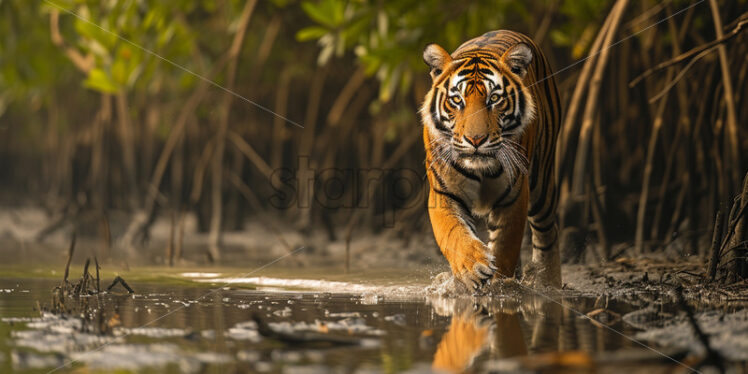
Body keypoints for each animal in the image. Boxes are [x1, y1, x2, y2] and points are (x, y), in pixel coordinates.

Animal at [420, 30, 560, 290]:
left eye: (494, 98)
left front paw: (499, 286)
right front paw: (473, 268)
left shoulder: (514, 195)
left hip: (542, 181)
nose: (476, 139)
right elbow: (453, 233)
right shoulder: (443, 193)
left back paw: (549, 282)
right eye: (457, 100)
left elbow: (505, 245)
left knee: (547, 232)